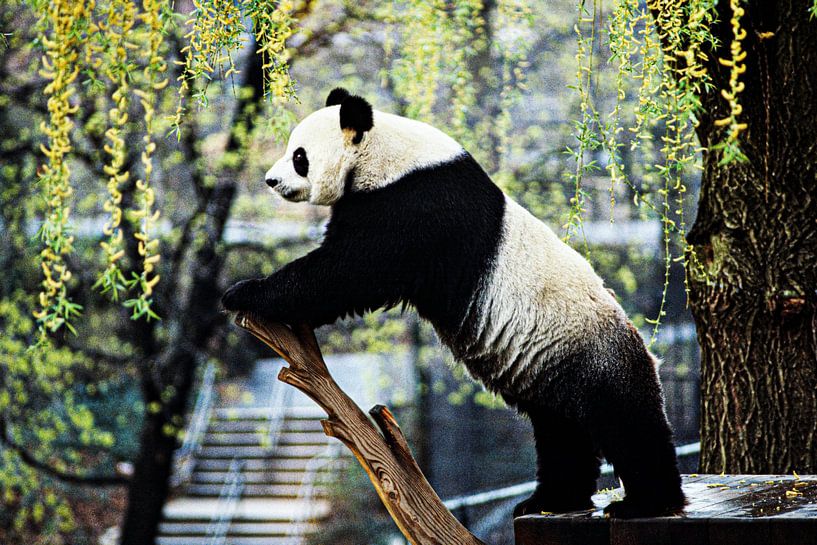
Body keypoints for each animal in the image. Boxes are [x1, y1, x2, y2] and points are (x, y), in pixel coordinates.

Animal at [222, 87, 685, 519]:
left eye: (299, 156)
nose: (271, 181)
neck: (386, 154)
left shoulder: (415, 205)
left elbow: (349, 271)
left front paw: (243, 292)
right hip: (552, 369)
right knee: (561, 433)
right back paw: (550, 500)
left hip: (592, 353)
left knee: (625, 422)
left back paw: (646, 503)